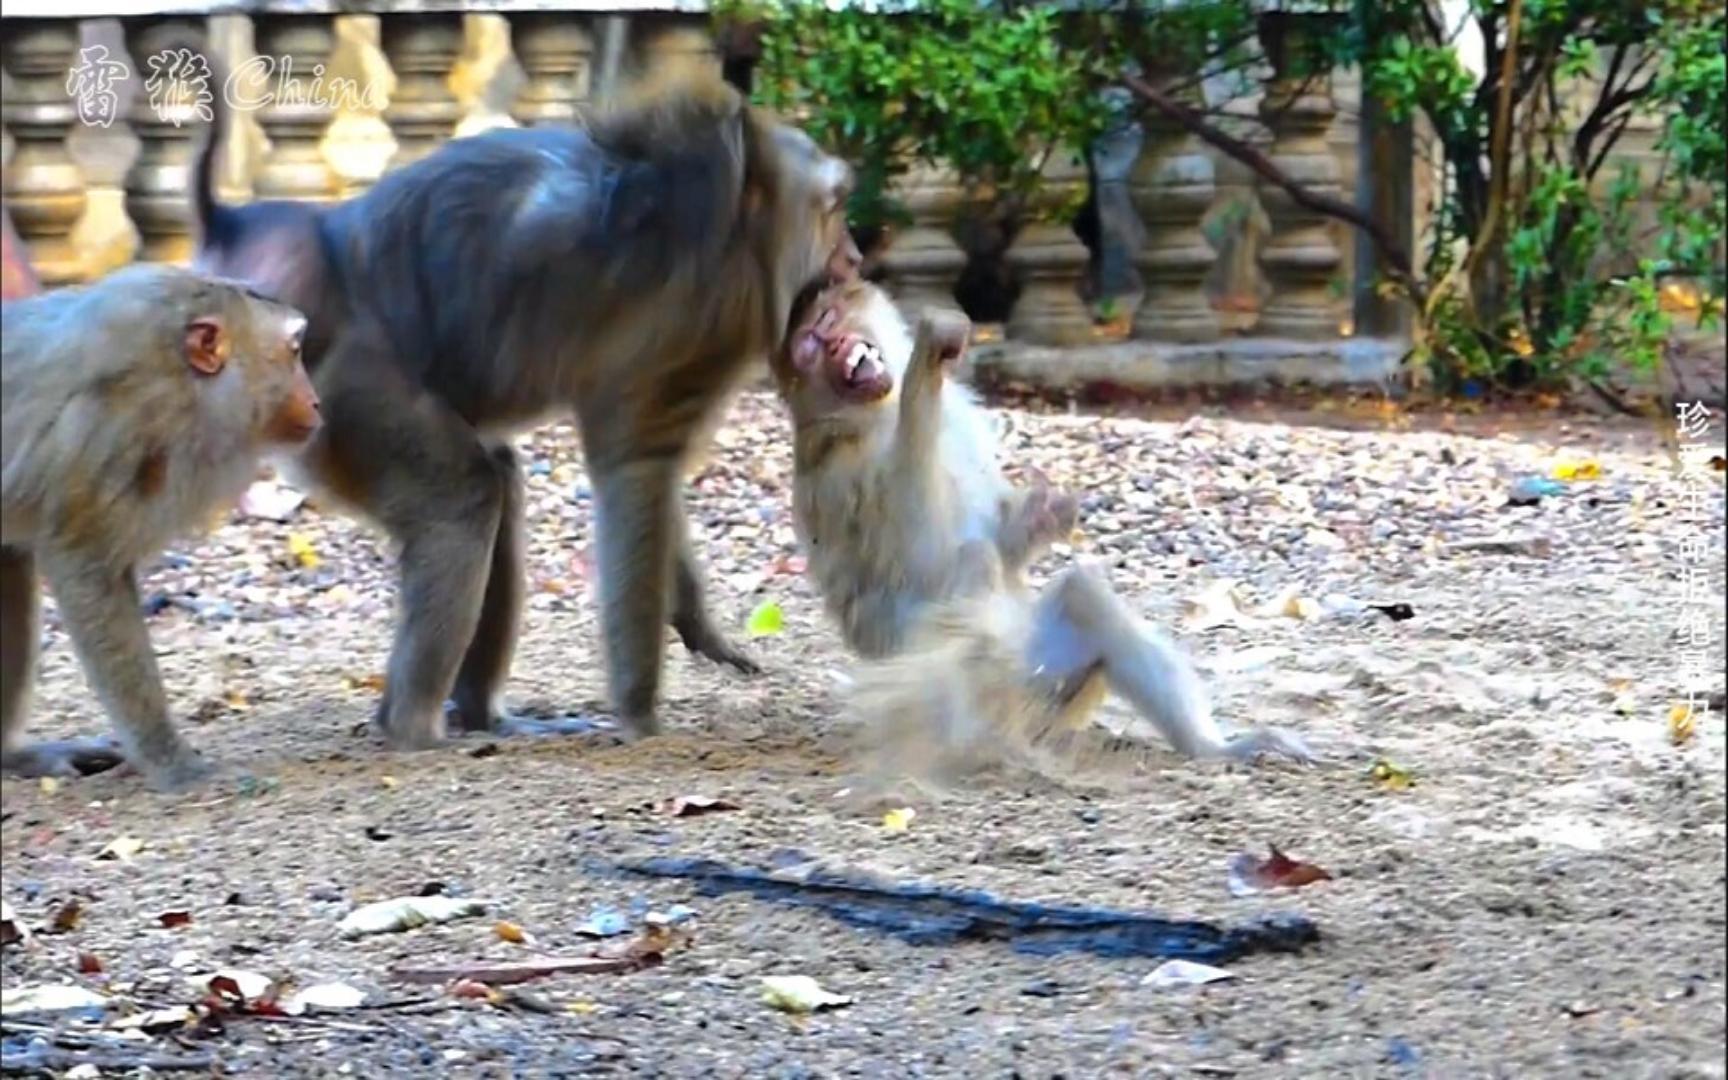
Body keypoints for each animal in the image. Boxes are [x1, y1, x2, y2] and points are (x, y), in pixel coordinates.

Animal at [3, 266, 323, 787]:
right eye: (294, 352)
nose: (316, 402)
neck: (178, 380)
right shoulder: (109, 430)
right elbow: (86, 568)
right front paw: (172, 762)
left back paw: (10, 756)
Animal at [770, 279, 1306, 774]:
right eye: (811, 346)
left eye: (828, 322)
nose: (835, 345)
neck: (874, 410)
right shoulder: (843, 467)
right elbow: (915, 550)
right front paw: (926, 363)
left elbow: (1002, 539)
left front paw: (1045, 513)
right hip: (937, 678)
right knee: (971, 575)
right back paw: (979, 739)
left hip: (1048, 683)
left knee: (1080, 596)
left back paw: (1211, 748)